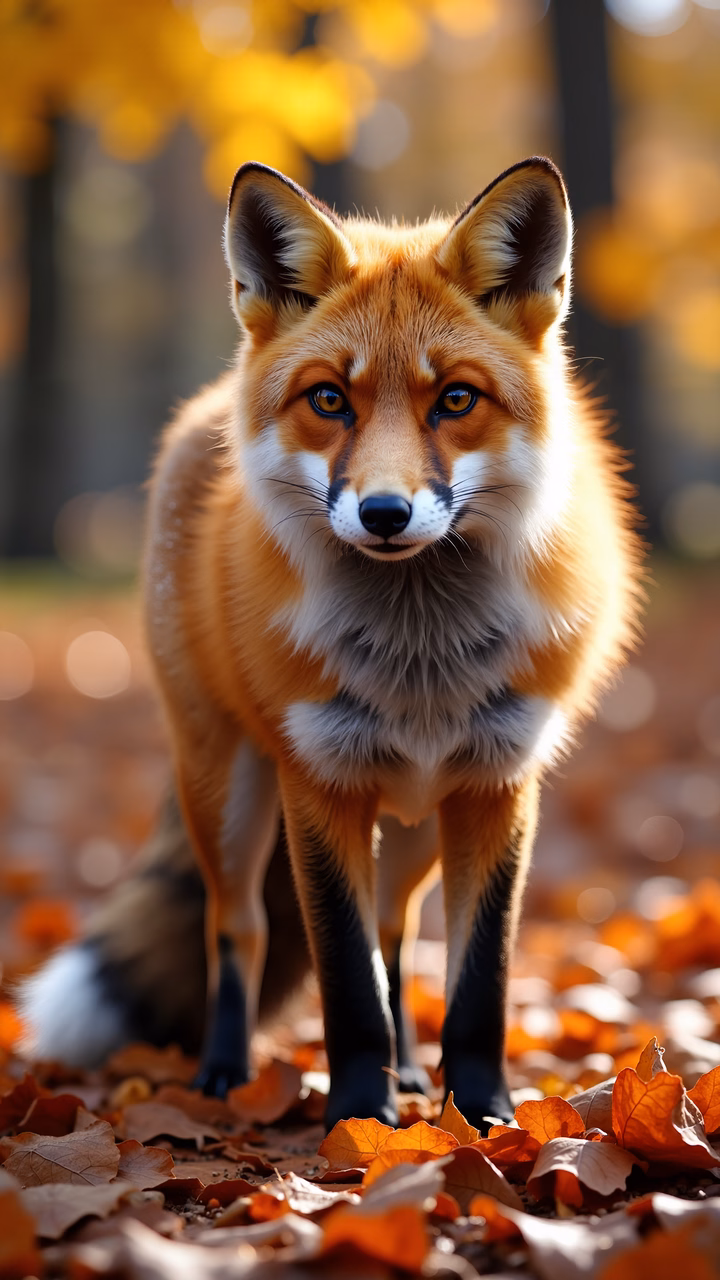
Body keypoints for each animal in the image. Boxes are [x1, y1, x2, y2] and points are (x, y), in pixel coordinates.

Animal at [21, 157, 642, 1131]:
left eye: (455, 399)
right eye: (329, 400)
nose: (384, 513)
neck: (420, 659)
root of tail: (208, 405)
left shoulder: (499, 785)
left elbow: (477, 982)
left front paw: (486, 1116)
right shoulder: (319, 782)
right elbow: (346, 978)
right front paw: (357, 1113)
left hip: (416, 829)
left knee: (398, 933)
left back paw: (416, 1075)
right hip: (229, 792)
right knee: (237, 930)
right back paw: (225, 1074)